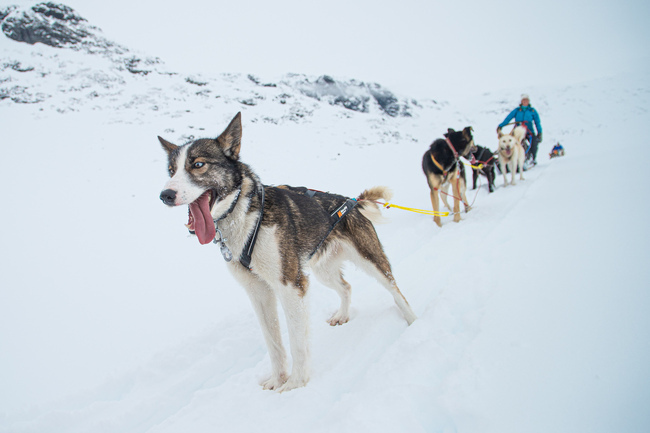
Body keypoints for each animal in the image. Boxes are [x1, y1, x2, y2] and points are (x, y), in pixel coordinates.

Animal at [157, 111, 416, 392]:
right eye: (171, 170)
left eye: (198, 164)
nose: (165, 194)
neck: (247, 218)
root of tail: (351, 202)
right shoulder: (258, 291)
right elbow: (274, 343)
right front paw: (277, 379)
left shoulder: (292, 286)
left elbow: (297, 343)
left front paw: (295, 385)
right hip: (322, 271)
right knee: (346, 287)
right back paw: (343, 315)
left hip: (370, 260)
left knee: (395, 290)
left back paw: (413, 321)